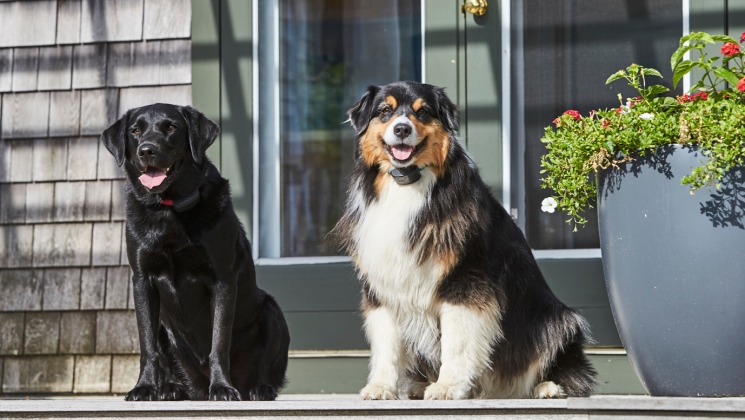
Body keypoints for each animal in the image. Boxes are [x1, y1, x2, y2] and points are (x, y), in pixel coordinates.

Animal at [101, 102, 290, 400]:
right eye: (135, 131)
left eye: (170, 127)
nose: (146, 150)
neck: (170, 208)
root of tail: (198, 386)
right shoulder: (142, 280)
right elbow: (147, 346)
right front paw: (144, 387)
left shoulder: (222, 279)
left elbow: (218, 342)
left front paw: (222, 387)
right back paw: (171, 388)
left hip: (272, 312)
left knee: (262, 367)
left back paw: (258, 389)